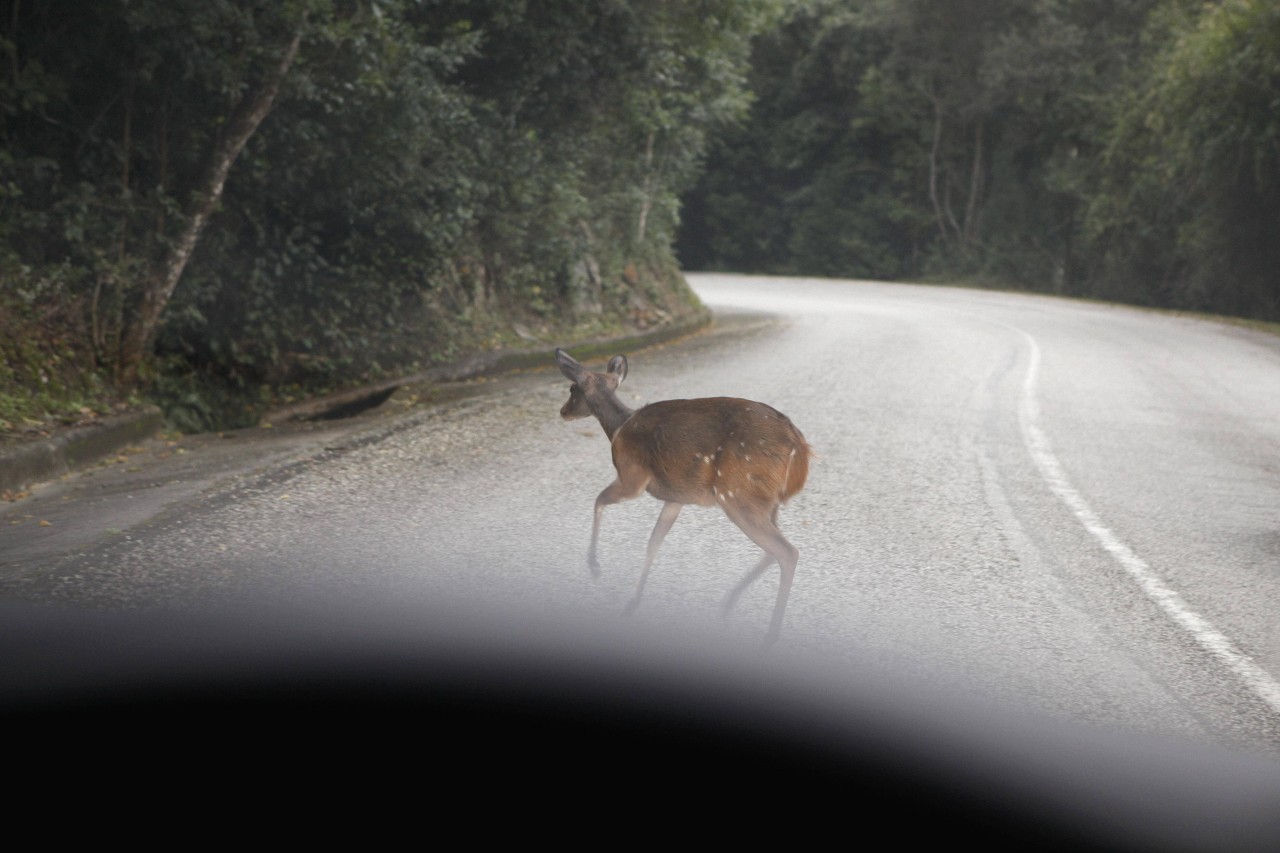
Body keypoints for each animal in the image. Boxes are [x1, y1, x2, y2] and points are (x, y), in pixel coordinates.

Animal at [552, 345, 808, 645]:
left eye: (572, 388)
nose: (563, 411)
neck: (618, 427)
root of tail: (801, 451)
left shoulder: (632, 477)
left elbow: (599, 501)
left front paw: (594, 565)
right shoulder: (675, 498)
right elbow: (653, 544)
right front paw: (633, 603)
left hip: (737, 493)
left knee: (786, 551)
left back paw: (769, 634)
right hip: (766, 500)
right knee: (774, 550)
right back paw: (728, 603)